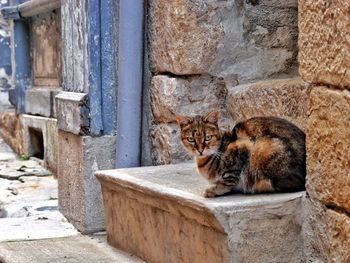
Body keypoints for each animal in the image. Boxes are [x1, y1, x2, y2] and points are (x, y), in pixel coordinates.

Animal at [175, 111, 306, 198]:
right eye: (191, 139)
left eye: (208, 137)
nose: (200, 150)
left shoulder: (242, 148)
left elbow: (228, 180)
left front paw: (212, 190)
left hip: (266, 150)